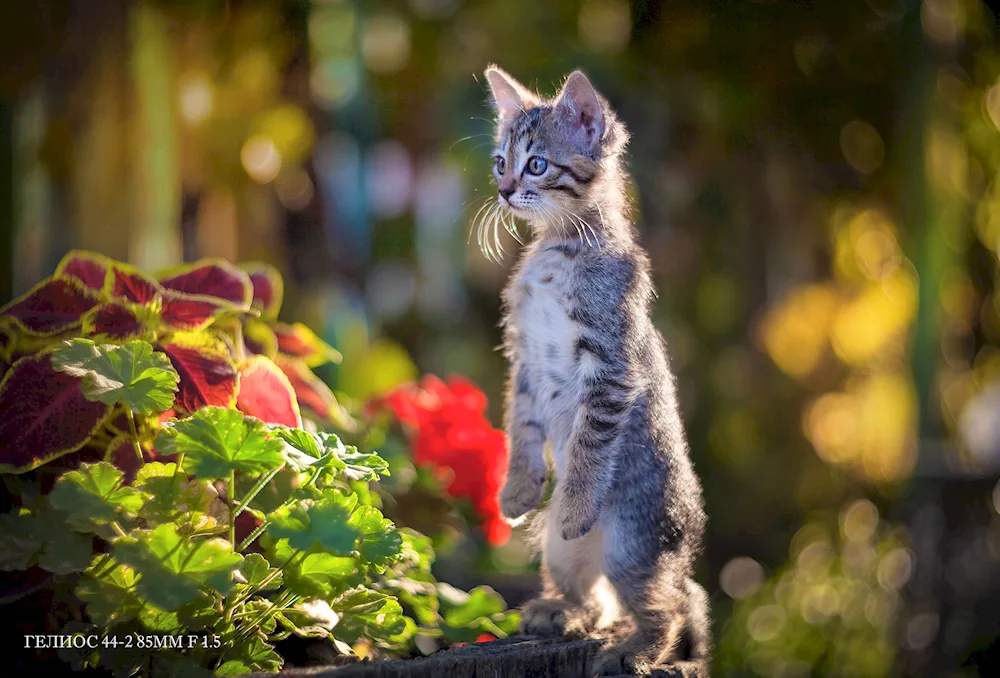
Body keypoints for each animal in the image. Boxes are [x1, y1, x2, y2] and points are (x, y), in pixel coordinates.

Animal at [482, 65, 712, 678]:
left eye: (538, 164)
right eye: (500, 160)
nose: (505, 190)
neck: (558, 250)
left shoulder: (611, 366)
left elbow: (588, 445)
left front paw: (576, 502)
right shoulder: (524, 358)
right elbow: (520, 423)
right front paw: (518, 488)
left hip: (632, 544)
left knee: (674, 602)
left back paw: (636, 649)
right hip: (563, 554)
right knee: (595, 595)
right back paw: (561, 611)